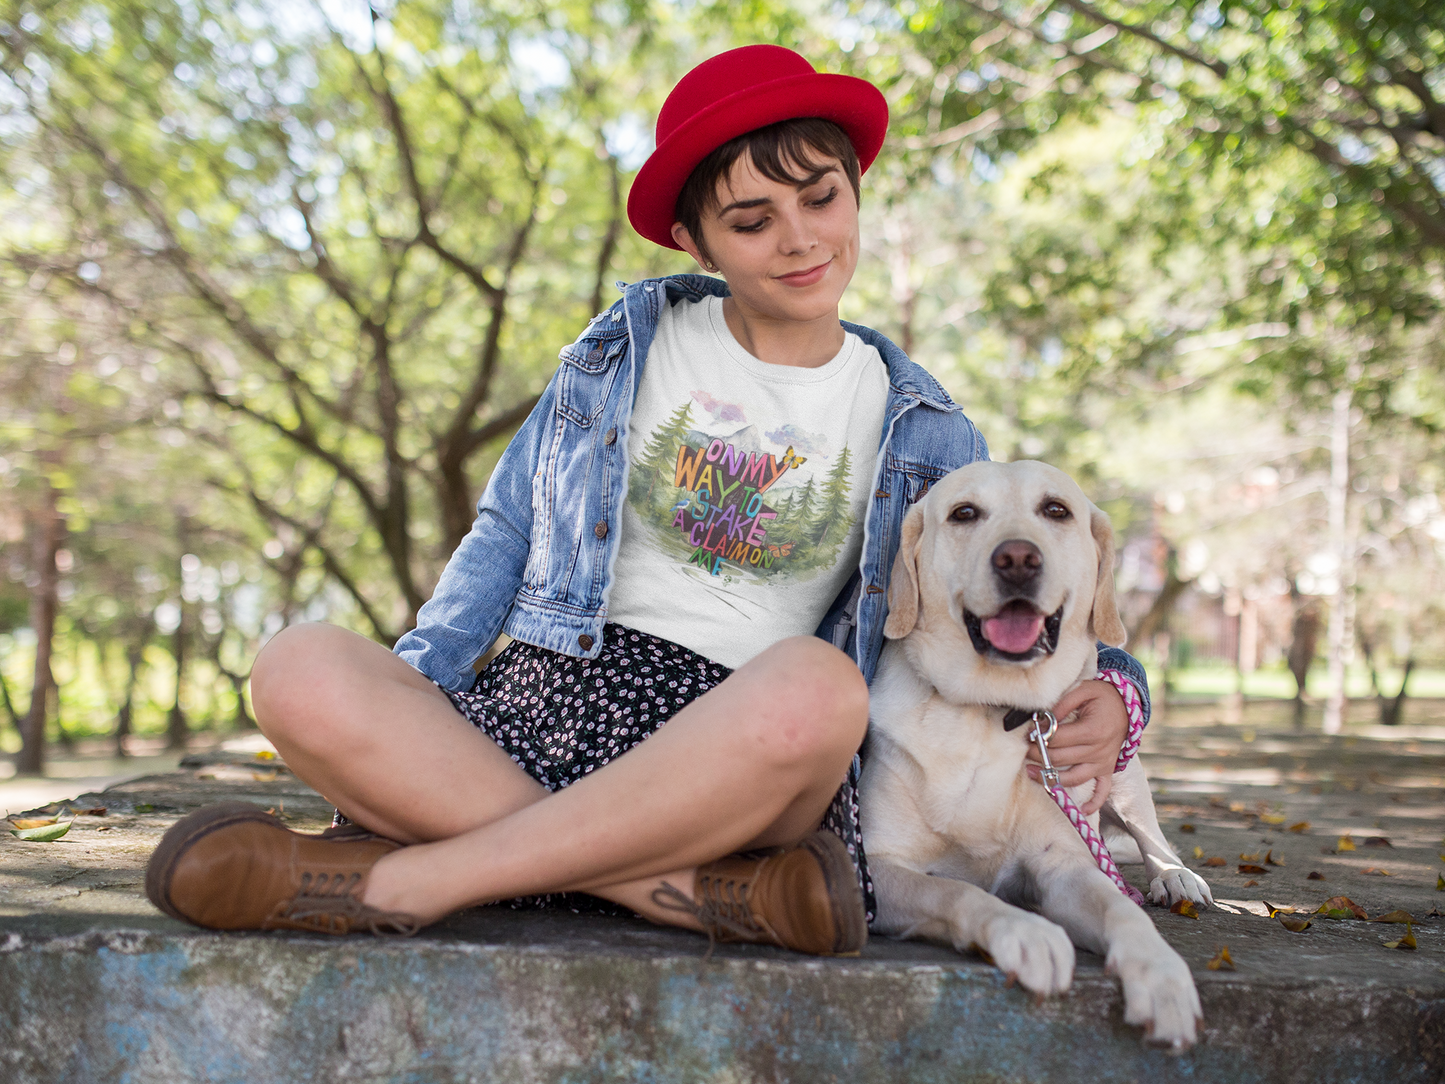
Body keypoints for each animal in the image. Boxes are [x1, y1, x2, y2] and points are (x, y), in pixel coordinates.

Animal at [855, 459, 1208, 1052]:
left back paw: (1176, 878)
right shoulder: (875, 867)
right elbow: (954, 889)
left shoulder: (1063, 864)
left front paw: (1161, 974)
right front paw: (1025, 931)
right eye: (964, 513)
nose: (1018, 558)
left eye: (1056, 510)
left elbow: (1123, 911)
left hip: (1126, 778)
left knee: (1152, 839)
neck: (995, 710)